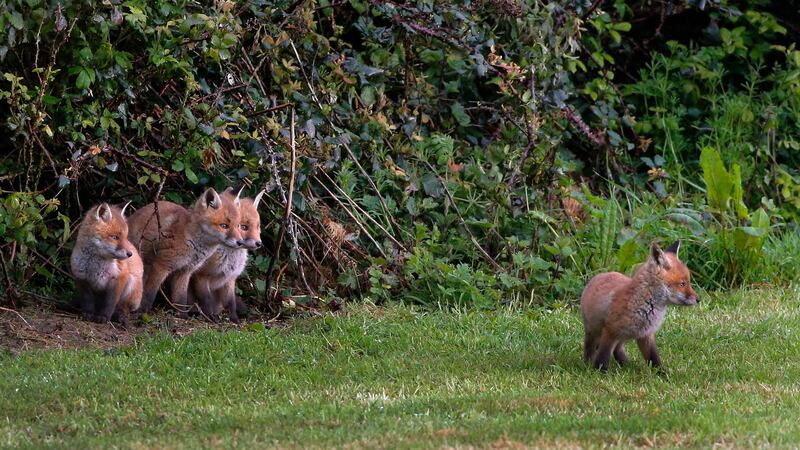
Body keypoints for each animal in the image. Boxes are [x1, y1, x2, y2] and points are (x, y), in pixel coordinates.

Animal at [126, 188, 243, 318]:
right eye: (224, 226)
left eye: (238, 226)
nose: (240, 242)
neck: (191, 241)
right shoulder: (161, 264)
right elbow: (150, 292)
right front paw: (143, 311)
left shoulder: (185, 271)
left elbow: (181, 298)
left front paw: (182, 316)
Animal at [188, 189, 264, 323]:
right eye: (243, 227)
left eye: (258, 226)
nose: (259, 243)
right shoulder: (200, 276)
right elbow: (206, 300)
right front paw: (210, 318)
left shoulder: (229, 279)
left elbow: (231, 302)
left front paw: (234, 319)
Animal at [580, 240, 699, 371]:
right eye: (682, 284)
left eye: (688, 282)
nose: (698, 299)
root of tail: (600, 275)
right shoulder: (610, 331)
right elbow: (603, 357)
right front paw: (599, 372)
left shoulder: (646, 334)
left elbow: (653, 358)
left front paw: (662, 373)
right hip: (594, 331)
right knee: (590, 348)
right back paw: (587, 364)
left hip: (623, 336)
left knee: (617, 350)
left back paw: (627, 364)